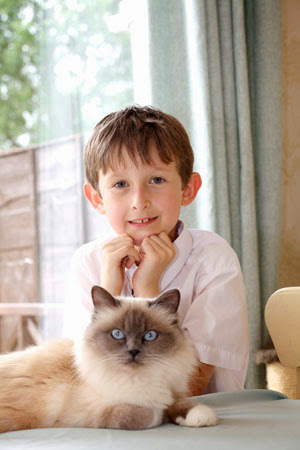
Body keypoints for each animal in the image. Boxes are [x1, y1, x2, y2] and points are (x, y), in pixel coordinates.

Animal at [0, 288, 217, 432]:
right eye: (117, 334)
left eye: (150, 336)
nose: (133, 352)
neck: (137, 378)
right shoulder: (87, 413)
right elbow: (140, 414)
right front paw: (160, 415)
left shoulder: (168, 393)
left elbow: (180, 404)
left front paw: (201, 417)